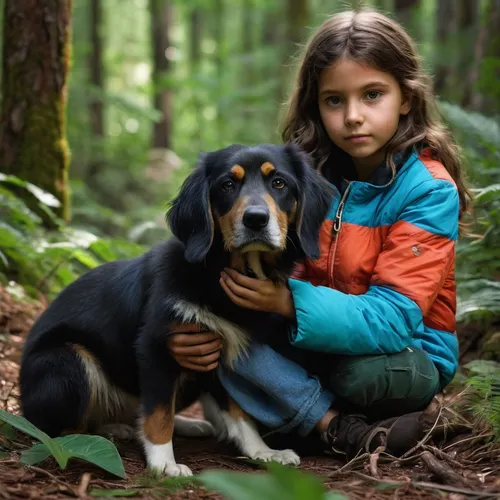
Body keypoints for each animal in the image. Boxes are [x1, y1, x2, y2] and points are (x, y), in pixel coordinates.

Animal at [18, 144, 332, 476]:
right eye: (227, 185)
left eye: (279, 183)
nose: (256, 219)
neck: (216, 275)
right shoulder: (157, 348)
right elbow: (158, 414)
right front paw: (164, 464)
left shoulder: (218, 354)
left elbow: (239, 414)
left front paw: (263, 452)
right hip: (66, 360)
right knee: (60, 428)